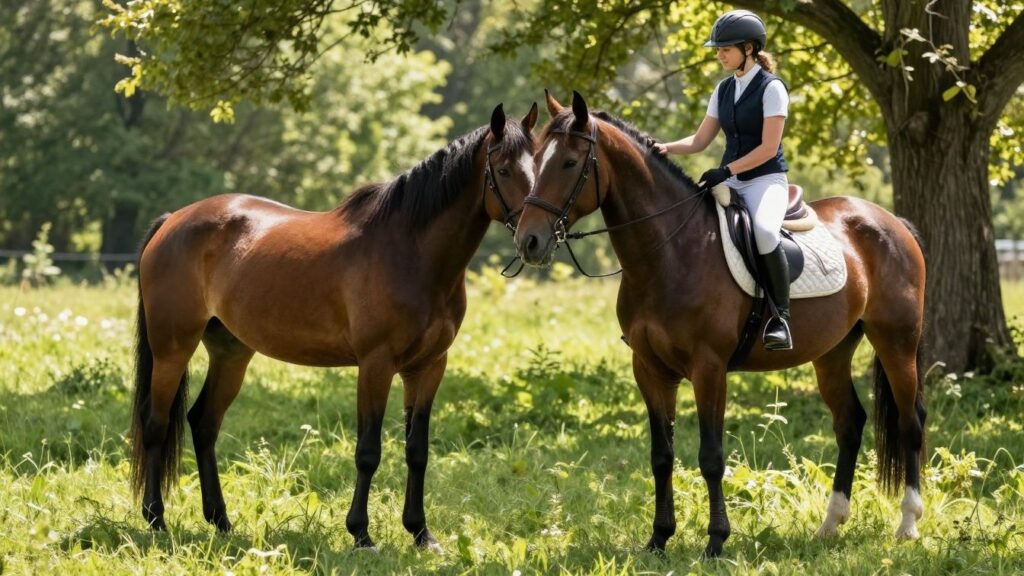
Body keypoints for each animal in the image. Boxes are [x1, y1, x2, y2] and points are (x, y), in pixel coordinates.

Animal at [131, 102, 539, 551]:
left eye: (538, 165)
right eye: (502, 169)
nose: (533, 238)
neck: (411, 253)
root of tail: (174, 220)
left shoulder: (429, 366)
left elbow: (418, 450)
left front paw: (420, 532)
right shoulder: (376, 365)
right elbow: (368, 451)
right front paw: (361, 534)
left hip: (231, 352)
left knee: (204, 424)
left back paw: (221, 520)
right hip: (172, 348)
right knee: (156, 424)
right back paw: (155, 519)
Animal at [514, 92, 927, 557]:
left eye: (569, 162)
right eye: (537, 159)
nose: (528, 241)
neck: (671, 251)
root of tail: (891, 221)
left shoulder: (708, 369)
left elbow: (711, 457)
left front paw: (715, 541)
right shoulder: (650, 369)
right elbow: (661, 456)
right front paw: (659, 538)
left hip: (896, 342)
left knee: (910, 422)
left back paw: (908, 524)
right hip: (833, 352)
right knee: (850, 424)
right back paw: (830, 525)